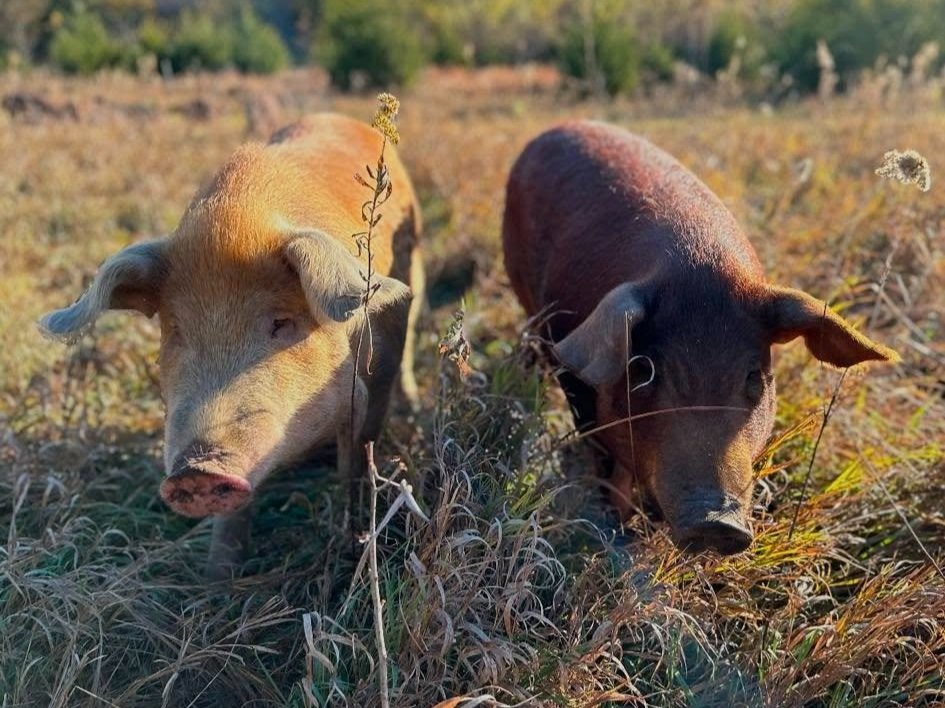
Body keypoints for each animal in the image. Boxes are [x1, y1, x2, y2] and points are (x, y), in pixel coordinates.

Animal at [40, 113, 424, 573]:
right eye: (177, 329)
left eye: (281, 323)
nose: (198, 469)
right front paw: (216, 576)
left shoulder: (364, 396)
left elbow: (354, 468)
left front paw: (350, 542)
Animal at [502, 121, 897, 555]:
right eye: (644, 370)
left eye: (754, 376)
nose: (716, 522)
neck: (698, 264)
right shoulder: (578, 388)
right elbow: (609, 471)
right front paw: (620, 533)